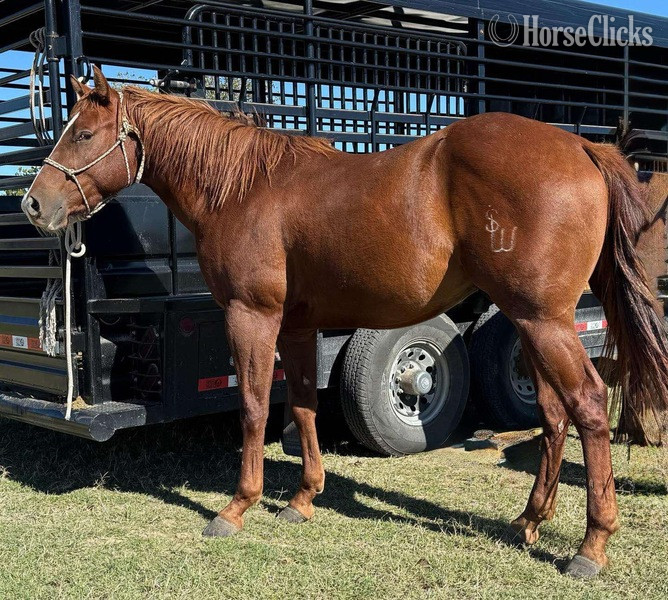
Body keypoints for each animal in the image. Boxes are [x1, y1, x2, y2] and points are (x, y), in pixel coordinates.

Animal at [22, 67, 668, 579]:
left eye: (83, 133)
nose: (33, 205)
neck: (243, 189)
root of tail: (581, 148)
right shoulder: (298, 328)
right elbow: (304, 405)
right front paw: (302, 499)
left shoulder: (252, 317)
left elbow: (254, 407)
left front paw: (236, 507)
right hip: (531, 322)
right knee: (555, 416)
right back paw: (529, 521)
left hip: (544, 321)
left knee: (589, 407)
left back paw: (590, 546)